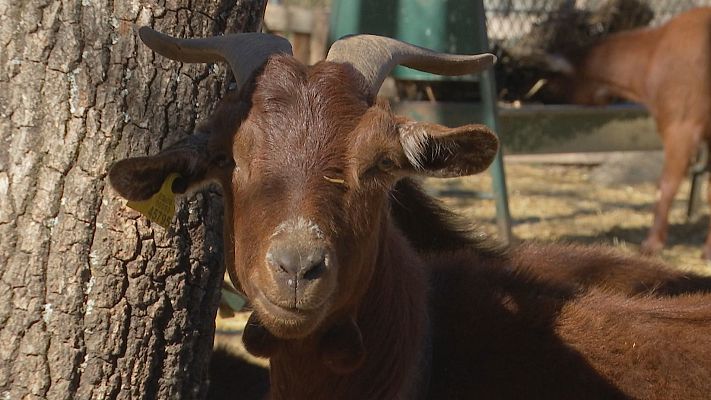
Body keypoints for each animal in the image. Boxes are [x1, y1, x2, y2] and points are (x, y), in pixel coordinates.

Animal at [541, 7, 711, 259]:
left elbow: (666, 185)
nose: (542, 99)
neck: (653, 53)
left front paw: (652, 243)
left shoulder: (680, 127)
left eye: (551, 83)